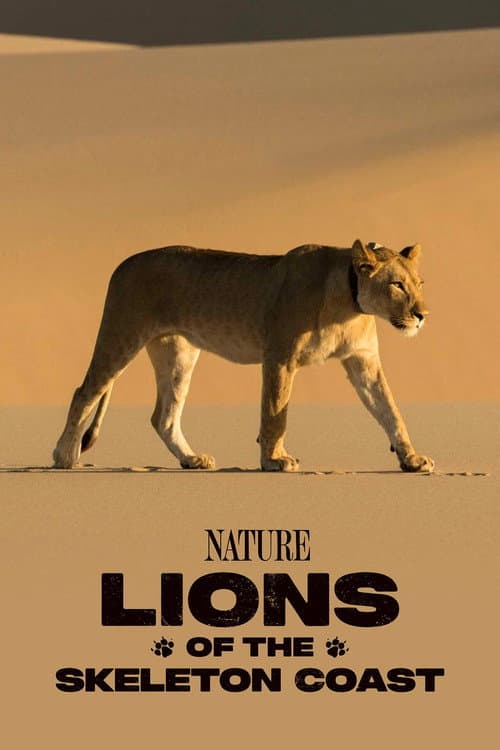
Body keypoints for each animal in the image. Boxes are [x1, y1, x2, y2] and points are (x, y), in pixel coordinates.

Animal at [53, 240, 434, 472]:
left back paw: (192, 459)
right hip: (121, 334)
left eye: (419, 284)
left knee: (163, 416)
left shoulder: (363, 361)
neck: (350, 305)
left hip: (178, 353)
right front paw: (275, 461)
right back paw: (64, 456)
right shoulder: (280, 356)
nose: (422, 315)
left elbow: (390, 411)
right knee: (84, 392)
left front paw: (412, 459)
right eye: (396, 285)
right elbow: (275, 413)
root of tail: (123, 262)